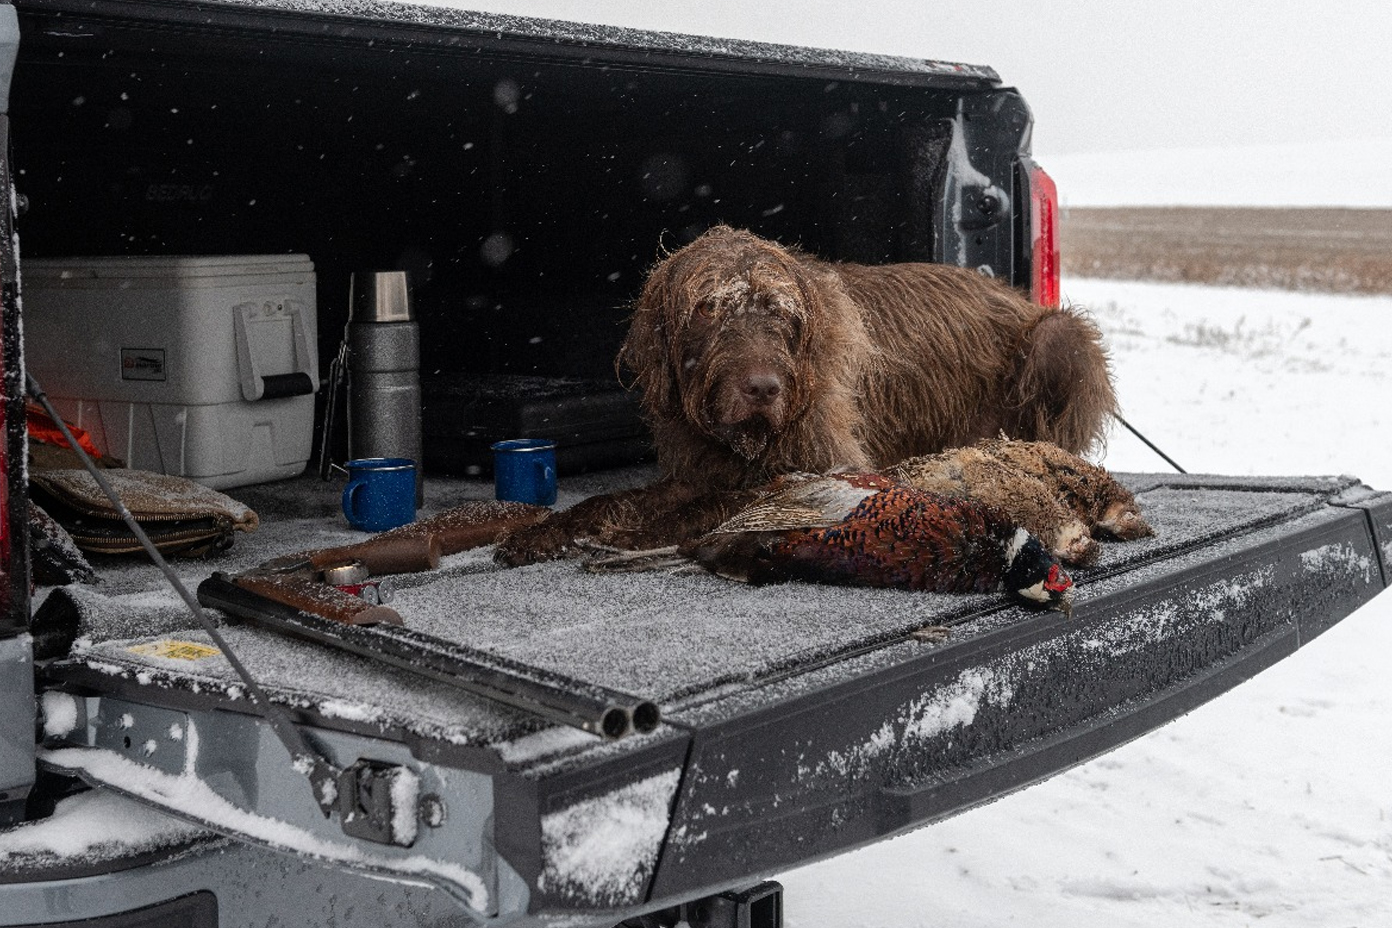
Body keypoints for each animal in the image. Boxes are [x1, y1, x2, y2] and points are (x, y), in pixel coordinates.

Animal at [495, 225, 1113, 567]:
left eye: (780, 313)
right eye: (708, 309)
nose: (764, 388)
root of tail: (1013, 295)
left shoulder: (831, 466)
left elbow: (723, 504)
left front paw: (630, 536)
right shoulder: (696, 469)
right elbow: (607, 501)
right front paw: (544, 534)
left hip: (1059, 336)